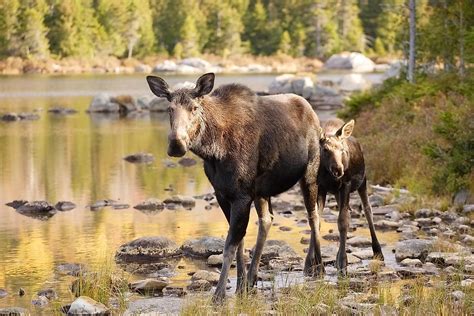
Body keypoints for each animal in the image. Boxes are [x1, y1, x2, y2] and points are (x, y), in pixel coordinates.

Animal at [146, 73, 324, 300]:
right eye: (169, 108)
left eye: (194, 108)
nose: (176, 144)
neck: (213, 151)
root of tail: (312, 112)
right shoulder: (223, 194)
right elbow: (240, 242)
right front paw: (240, 284)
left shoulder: (241, 196)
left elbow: (230, 245)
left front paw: (219, 294)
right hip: (262, 191)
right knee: (267, 220)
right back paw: (253, 278)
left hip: (309, 173)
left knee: (313, 216)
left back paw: (317, 266)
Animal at [316, 118, 384, 274]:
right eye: (325, 149)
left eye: (342, 149)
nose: (338, 169)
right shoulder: (320, 186)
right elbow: (317, 221)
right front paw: (316, 265)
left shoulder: (346, 185)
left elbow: (343, 221)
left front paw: (343, 263)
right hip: (337, 193)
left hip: (362, 181)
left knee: (368, 210)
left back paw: (377, 251)